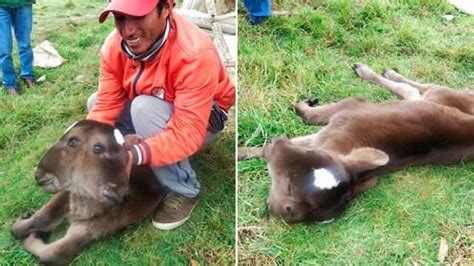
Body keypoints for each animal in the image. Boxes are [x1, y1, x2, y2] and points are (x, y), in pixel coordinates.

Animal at [11, 120, 165, 264]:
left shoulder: (91, 228)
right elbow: (43, 217)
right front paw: (23, 223)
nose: (38, 174)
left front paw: (33, 235)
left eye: (73, 141)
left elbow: (52, 254)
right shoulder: (68, 193)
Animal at [241, 63, 474, 223]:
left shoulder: (350, 109)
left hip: (440, 94)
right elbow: (298, 139)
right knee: (412, 91)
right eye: (316, 156)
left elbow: (310, 118)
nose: (276, 141)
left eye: (289, 185)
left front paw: (301, 108)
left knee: (419, 88)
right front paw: (243, 152)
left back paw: (371, 71)